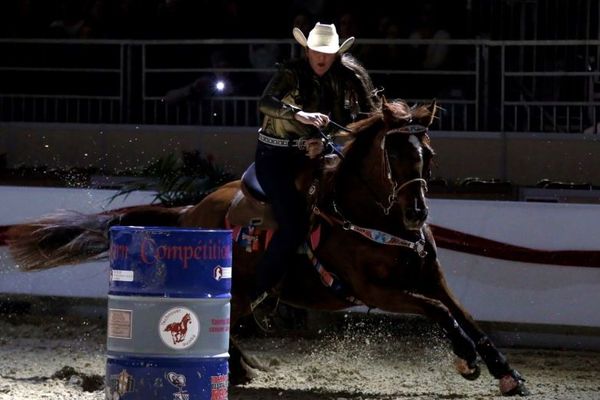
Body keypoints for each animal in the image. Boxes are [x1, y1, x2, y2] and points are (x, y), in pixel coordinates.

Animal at [4, 99, 528, 396]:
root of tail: (189, 212)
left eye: (427, 154)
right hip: (238, 286)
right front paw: (464, 359)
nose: (417, 213)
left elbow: (465, 315)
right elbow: (441, 313)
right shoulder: (376, 290)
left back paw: (243, 368)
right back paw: (238, 371)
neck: (367, 215)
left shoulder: (429, 276)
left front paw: (506, 373)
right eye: (393, 154)